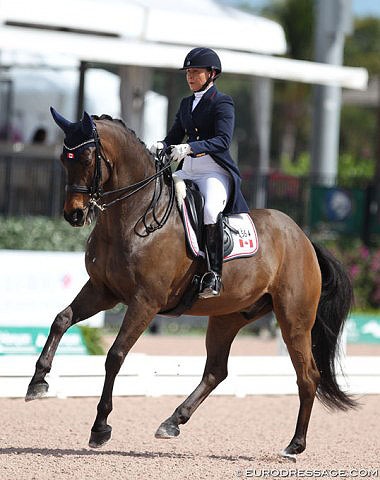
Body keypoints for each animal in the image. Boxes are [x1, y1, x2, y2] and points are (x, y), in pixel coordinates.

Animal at [26, 109, 356, 458]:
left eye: (88, 158)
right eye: (64, 159)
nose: (74, 215)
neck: (133, 216)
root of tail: (303, 238)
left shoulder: (145, 302)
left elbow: (116, 355)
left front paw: (100, 427)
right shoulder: (103, 291)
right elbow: (62, 319)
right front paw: (37, 383)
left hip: (294, 319)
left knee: (307, 376)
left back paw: (295, 445)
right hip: (228, 316)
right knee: (216, 371)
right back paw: (172, 422)